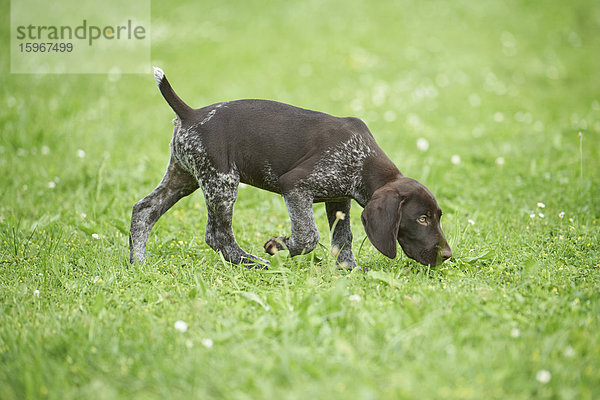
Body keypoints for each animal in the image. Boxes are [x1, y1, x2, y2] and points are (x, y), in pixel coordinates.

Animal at [130, 68, 450, 268]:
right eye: (421, 219)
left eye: (436, 217)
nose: (447, 255)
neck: (363, 160)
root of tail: (191, 114)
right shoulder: (296, 186)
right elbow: (308, 236)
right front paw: (277, 245)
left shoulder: (338, 199)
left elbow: (342, 238)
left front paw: (348, 268)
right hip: (222, 182)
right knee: (217, 235)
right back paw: (252, 263)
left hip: (185, 177)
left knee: (143, 211)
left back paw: (138, 263)